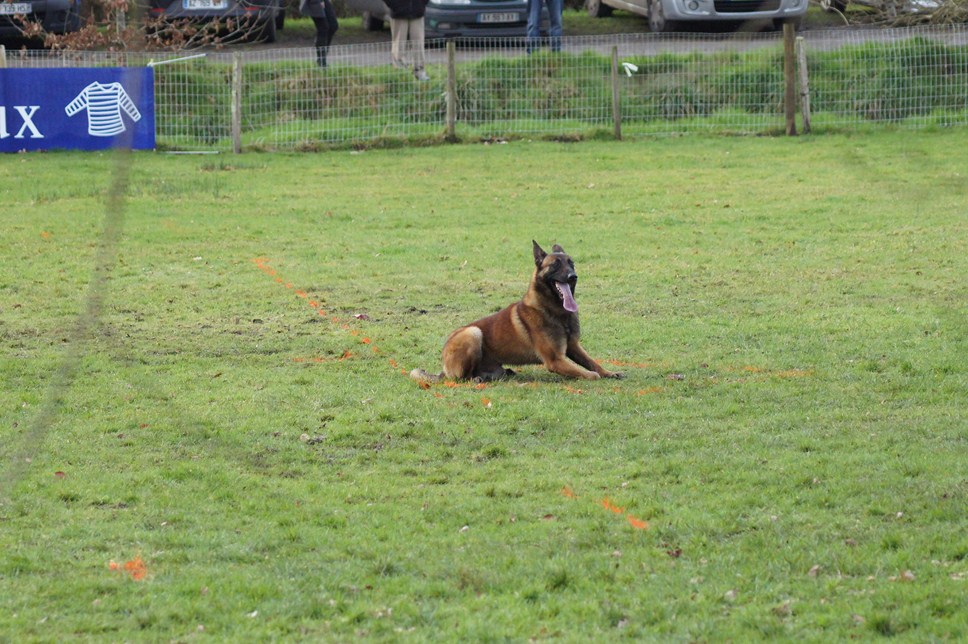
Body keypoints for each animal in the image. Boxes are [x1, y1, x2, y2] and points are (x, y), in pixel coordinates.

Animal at [412, 242, 624, 382]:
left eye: (571, 263)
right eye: (555, 264)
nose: (573, 276)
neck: (555, 311)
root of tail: (443, 369)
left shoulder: (573, 346)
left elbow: (592, 362)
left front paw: (609, 373)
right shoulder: (555, 360)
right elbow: (588, 373)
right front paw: (595, 376)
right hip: (473, 332)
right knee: (462, 377)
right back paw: (476, 379)